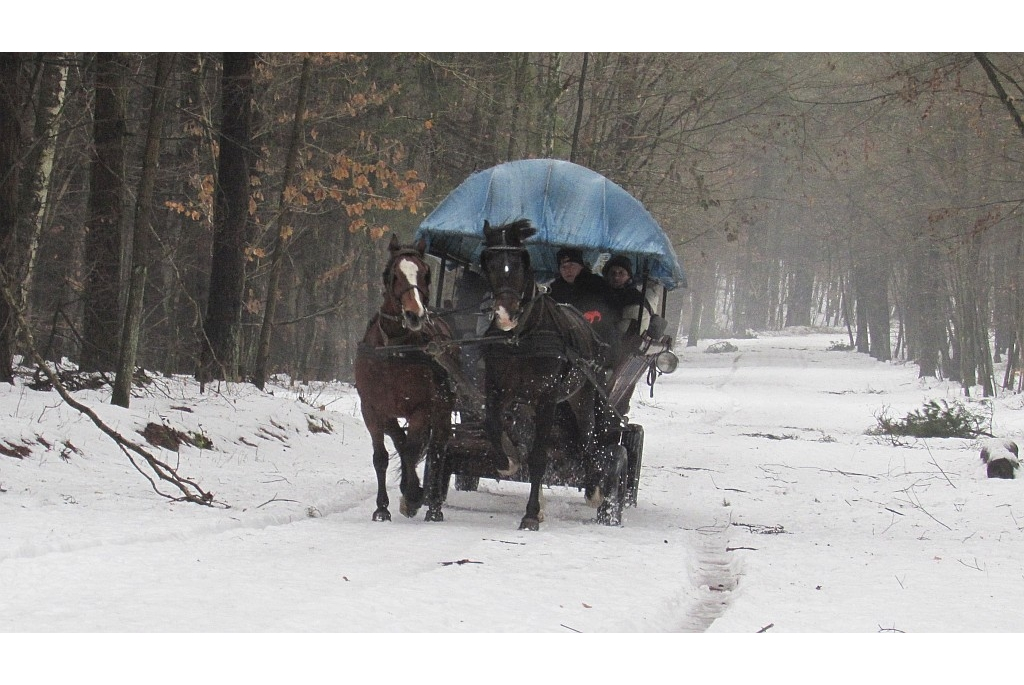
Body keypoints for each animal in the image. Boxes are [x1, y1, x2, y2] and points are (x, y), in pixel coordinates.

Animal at [356, 236, 456, 524]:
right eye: (392, 275)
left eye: (426, 274)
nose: (415, 315)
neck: (395, 349)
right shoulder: (373, 409)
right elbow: (384, 455)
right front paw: (382, 508)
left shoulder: (422, 409)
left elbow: (412, 450)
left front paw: (413, 495)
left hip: (443, 409)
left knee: (437, 448)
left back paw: (433, 505)